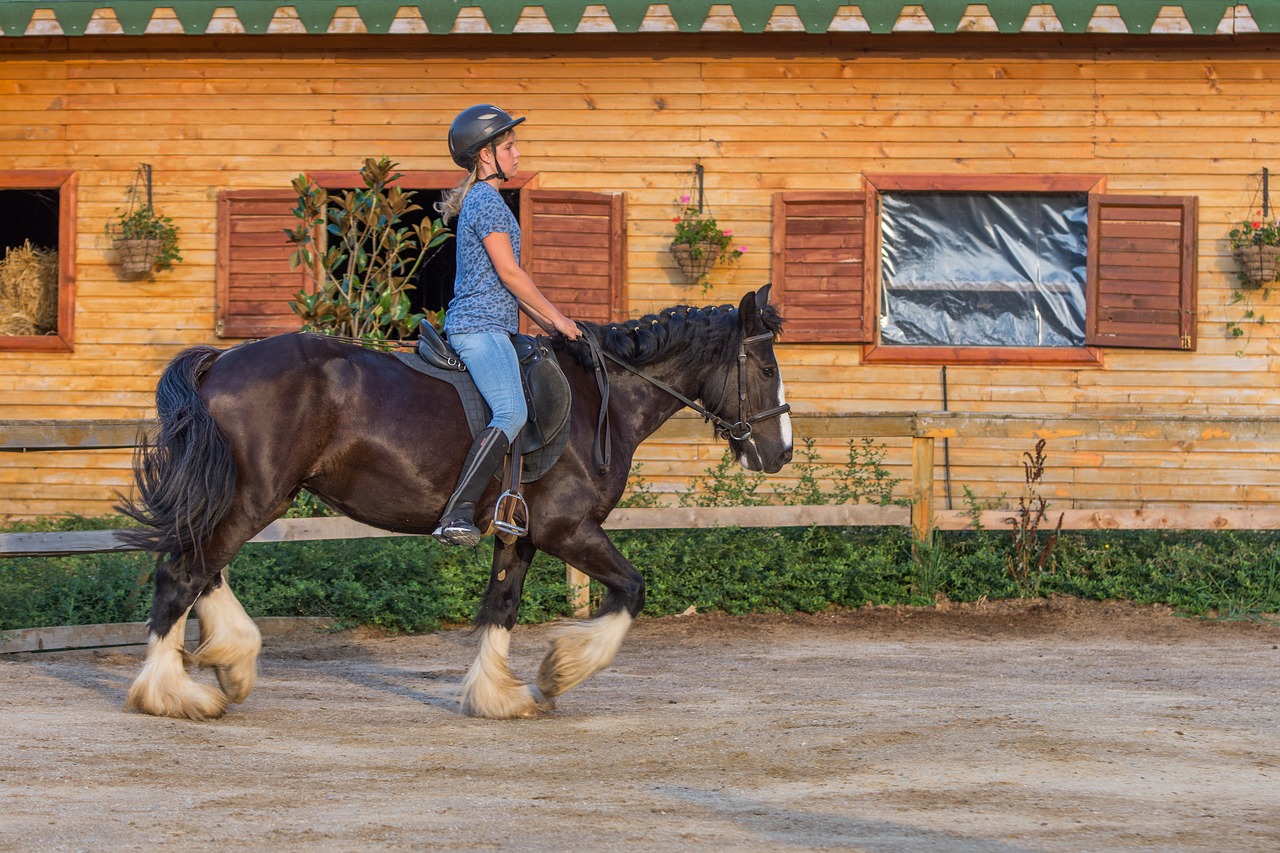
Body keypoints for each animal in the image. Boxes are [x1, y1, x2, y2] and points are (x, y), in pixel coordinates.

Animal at [122, 284, 798, 717]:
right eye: (766, 369)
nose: (780, 453)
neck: (598, 402)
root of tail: (222, 360)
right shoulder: (568, 529)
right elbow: (631, 589)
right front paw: (558, 671)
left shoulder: (522, 533)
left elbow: (501, 606)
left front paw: (500, 696)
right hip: (256, 496)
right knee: (183, 572)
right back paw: (171, 693)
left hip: (243, 497)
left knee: (200, 566)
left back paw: (230, 663)